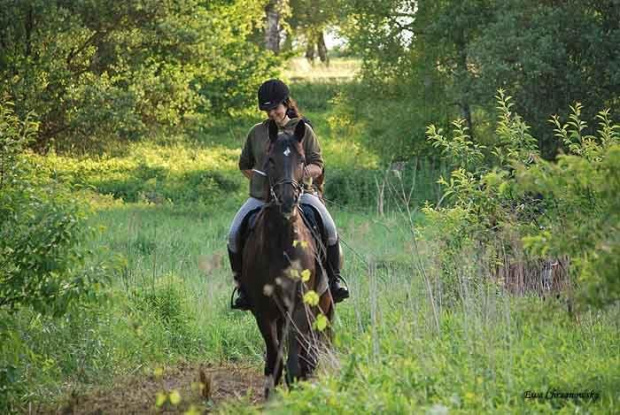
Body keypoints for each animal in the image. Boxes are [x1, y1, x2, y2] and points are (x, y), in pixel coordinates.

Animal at [241, 118, 334, 398]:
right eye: (270, 159)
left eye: (302, 160)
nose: (287, 200)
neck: (282, 241)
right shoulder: (264, 311)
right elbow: (275, 359)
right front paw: (271, 396)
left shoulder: (300, 306)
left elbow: (294, 358)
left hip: (321, 303)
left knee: (310, 348)